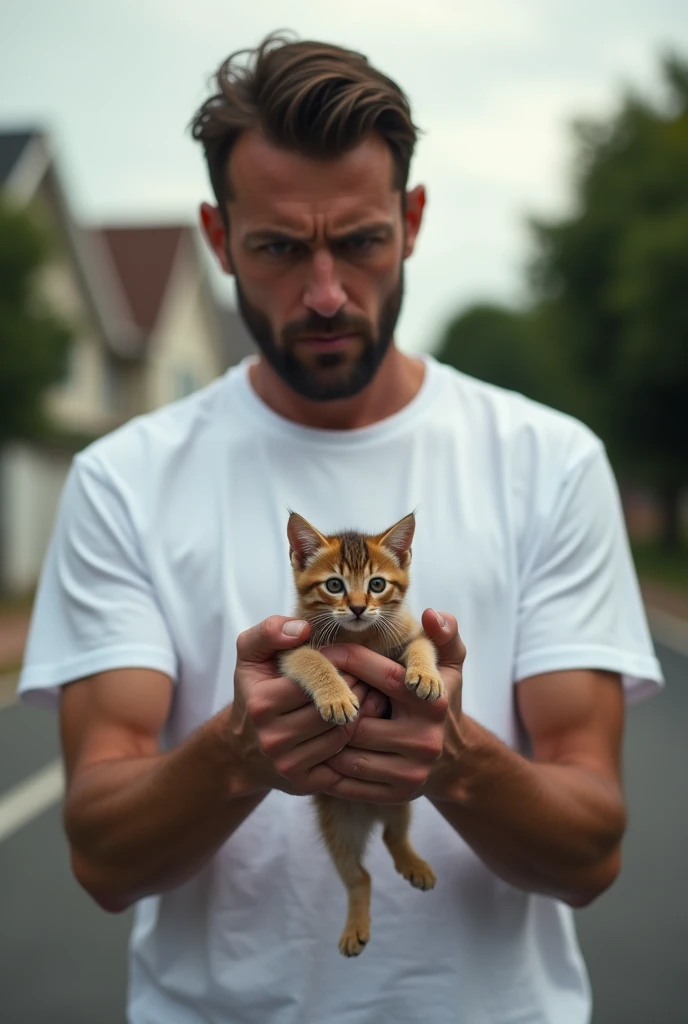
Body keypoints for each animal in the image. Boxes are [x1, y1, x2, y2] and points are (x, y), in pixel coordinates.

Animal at [278, 516, 446, 954]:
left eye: (377, 584)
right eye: (335, 585)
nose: (356, 607)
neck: (358, 636)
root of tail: (371, 809)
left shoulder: (411, 632)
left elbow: (423, 645)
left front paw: (426, 674)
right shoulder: (286, 650)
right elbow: (310, 658)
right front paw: (336, 696)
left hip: (401, 799)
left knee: (392, 835)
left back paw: (413, 864)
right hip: (337, 823)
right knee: (360, 876)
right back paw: (356, 926)